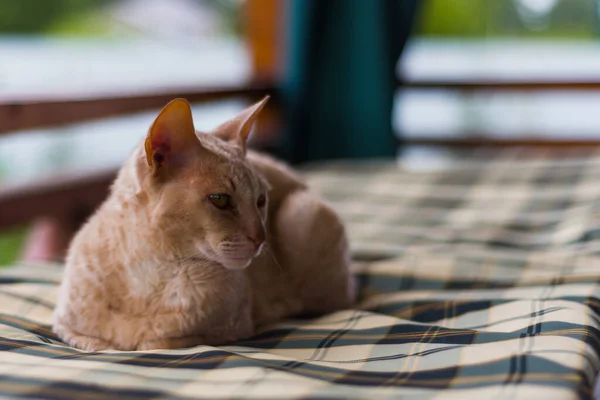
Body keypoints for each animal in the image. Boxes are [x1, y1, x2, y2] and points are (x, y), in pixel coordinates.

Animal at [51, 96, 356, 350]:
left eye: (260, 201)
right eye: (220, 200)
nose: (261, 238)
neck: (149, 276)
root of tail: (300, 179)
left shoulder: (228, 330)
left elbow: (152, 342)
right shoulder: (65, 328)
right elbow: (99, 344)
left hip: (303, 214)